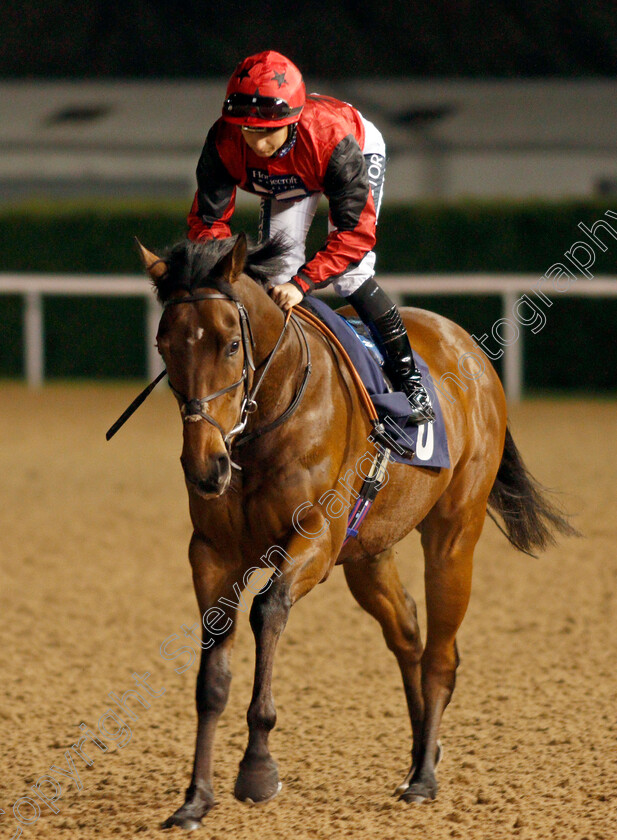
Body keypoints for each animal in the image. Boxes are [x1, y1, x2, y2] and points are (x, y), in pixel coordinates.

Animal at [135, 233, 572, 832]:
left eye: (230, 344)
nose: (205, 467)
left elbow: (267, 611)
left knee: (441, 654)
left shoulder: (315, 540)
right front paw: (196, 797)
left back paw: (424, 778)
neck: (269, 418)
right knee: (407, 631)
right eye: (164, 344)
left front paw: (257, 769)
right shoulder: (211, 554)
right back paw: (422, 754)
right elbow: (211, 676)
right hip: (369, 551)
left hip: (454, 533)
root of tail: (469, 349)